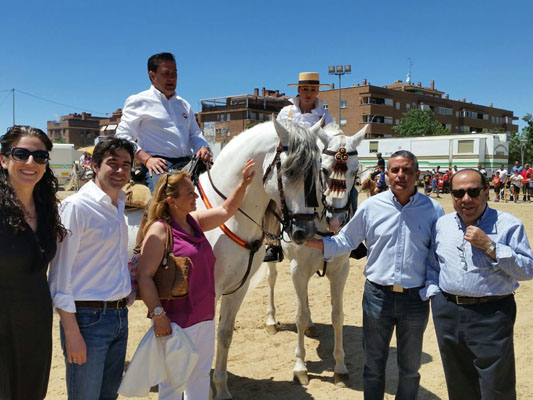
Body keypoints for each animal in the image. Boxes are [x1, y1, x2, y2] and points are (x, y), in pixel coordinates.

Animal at [264, 124, 368, 388]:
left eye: (355, 171)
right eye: (324, 169)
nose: (337, 219)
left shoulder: (340, 271)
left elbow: (337, 316)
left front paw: (340, 369)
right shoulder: (297, 270)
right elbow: (299, 316)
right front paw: (300, 368)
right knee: (271, 280)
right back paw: (271, 321)